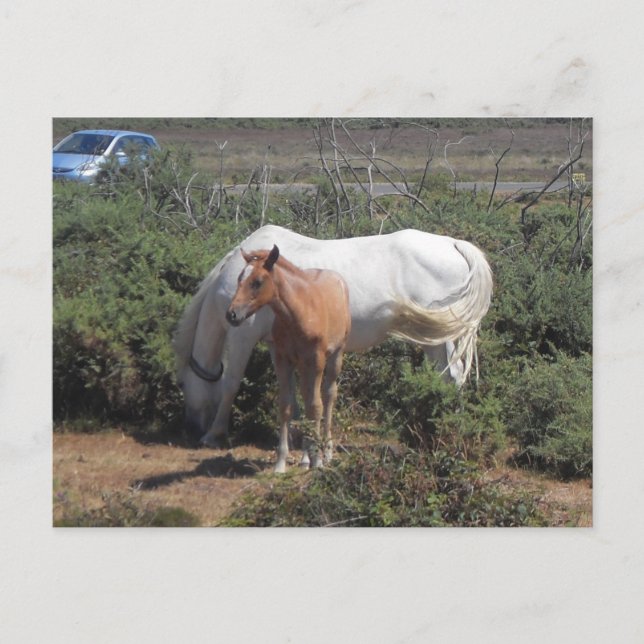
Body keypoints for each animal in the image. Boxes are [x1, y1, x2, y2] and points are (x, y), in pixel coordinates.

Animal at [174, 225, 493, 446]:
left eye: (183, 384)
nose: (189, 426)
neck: (236, 281)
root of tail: (453, 244)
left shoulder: (242, 337)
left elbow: (230, 384)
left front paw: (214, 434)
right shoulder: (284, 344)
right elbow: (292, 388)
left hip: (439, 337)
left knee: (452, 376)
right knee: (447, 376)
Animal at [226, 244, 351, 472]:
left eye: (257, 282)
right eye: (239, 277)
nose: (232, 314)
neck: (298, 314)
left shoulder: (317, 360)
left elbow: (316, 407)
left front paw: (318, 461)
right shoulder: (283, 359)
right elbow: (286, 406)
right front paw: (281, 463)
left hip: (336, 355)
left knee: (329, 395)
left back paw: (326, 451)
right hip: (302, 365)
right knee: (306, 397)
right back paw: (305, 458)